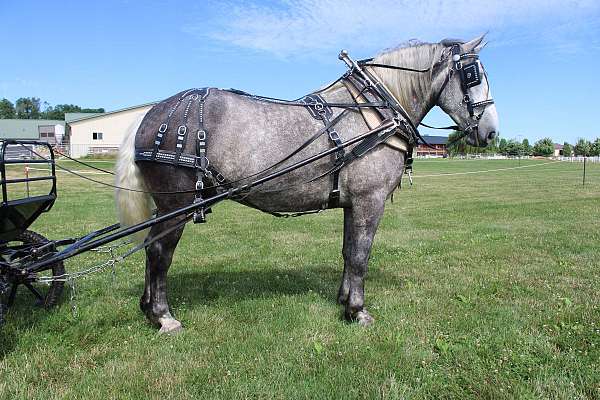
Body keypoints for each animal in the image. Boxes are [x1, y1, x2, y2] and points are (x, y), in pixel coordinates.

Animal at [116, 36, 496, 332]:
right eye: (473, 75)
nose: (491, 131)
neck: (376, 111)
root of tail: (150, 114)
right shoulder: (369, 200)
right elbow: (361, 254)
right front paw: (357, 311)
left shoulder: (352, 204)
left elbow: (348, 251)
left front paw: (343, 300)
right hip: (177, 205)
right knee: (159, 252)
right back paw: (163, 316)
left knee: (150, 248)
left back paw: (147, 308)